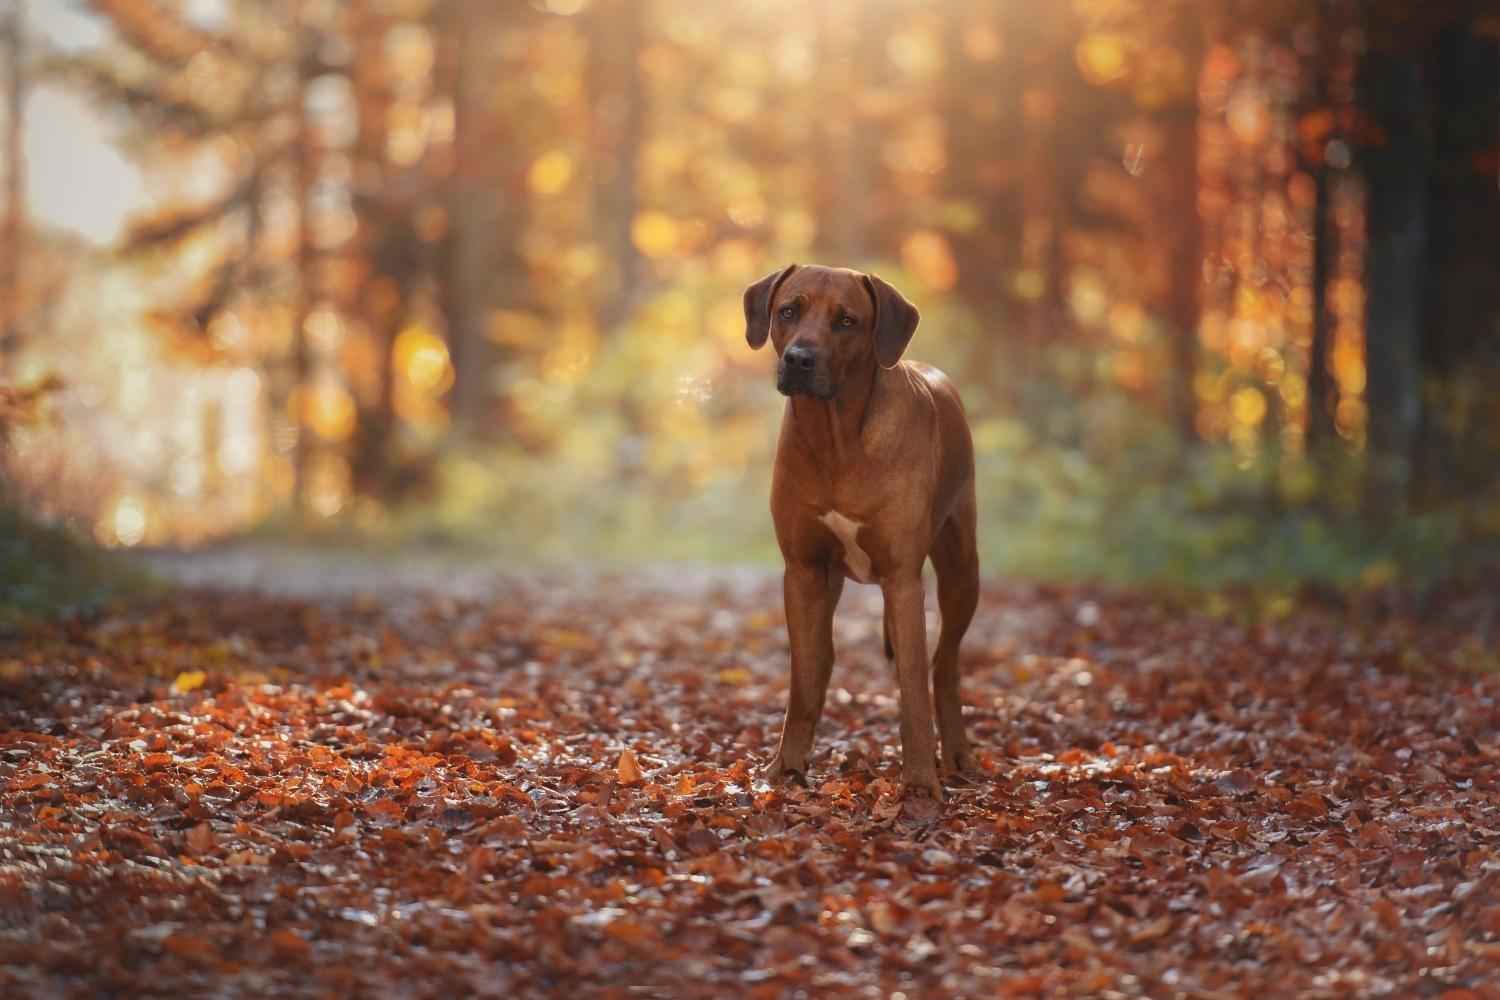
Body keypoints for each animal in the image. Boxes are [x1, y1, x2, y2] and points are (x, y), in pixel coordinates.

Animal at [744, 262, 978, 803]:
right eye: (788, 311)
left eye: (847, 321)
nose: (798, 359)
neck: (836, 439)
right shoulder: (803, 571)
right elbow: (802, 682)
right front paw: (786, 768)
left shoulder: (903, 579)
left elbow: (913, 689)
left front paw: (920, 782)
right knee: (823, 661)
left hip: (962, 570)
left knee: (944, 665)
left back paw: (955, 753)